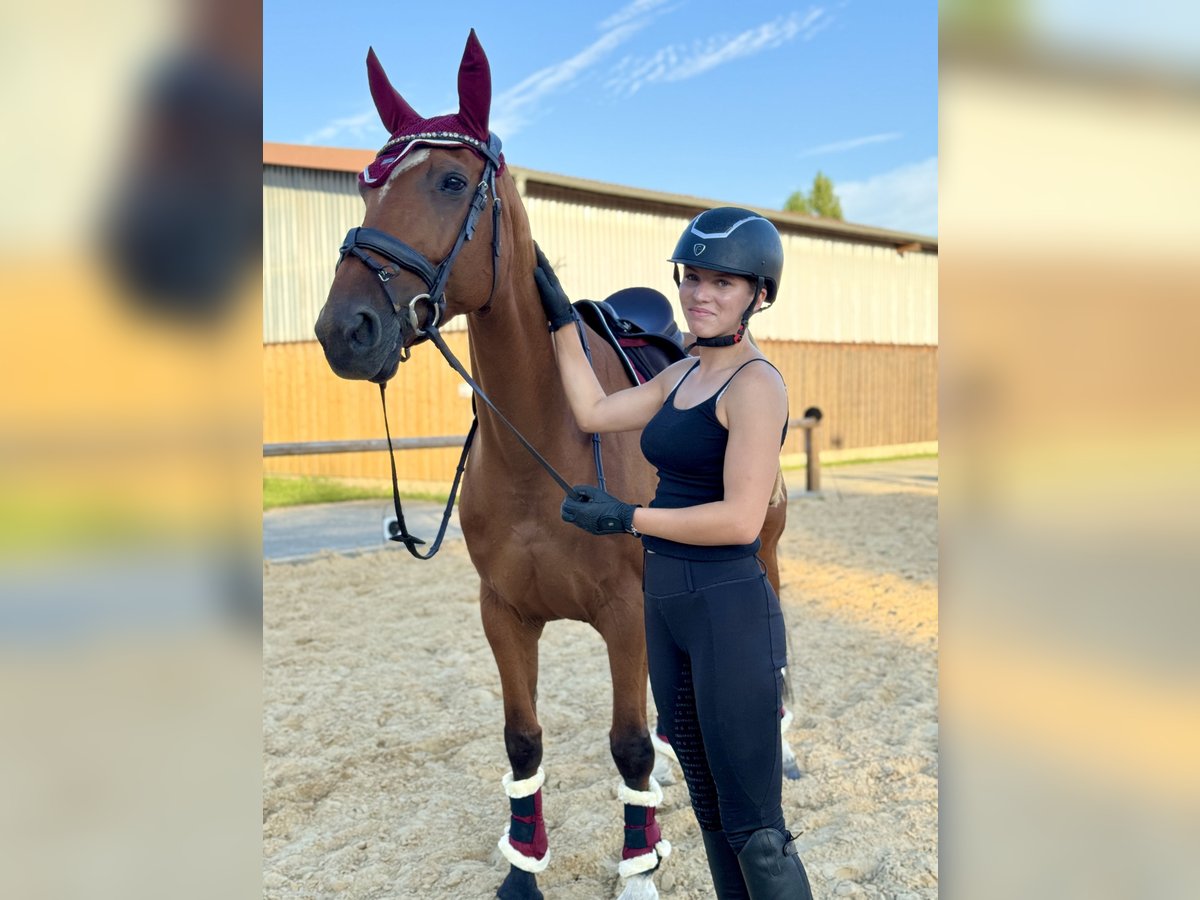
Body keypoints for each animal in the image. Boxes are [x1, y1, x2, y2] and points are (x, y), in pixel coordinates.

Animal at [314, 30, 792, 900]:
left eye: (451, 180)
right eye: (367, 189)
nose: (346, 329)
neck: (539, 441)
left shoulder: (625, 613)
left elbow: (627, 742)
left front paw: (638, 868)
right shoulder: (504, 612)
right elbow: (523, 740)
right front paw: (523, 868)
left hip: (762, 555)